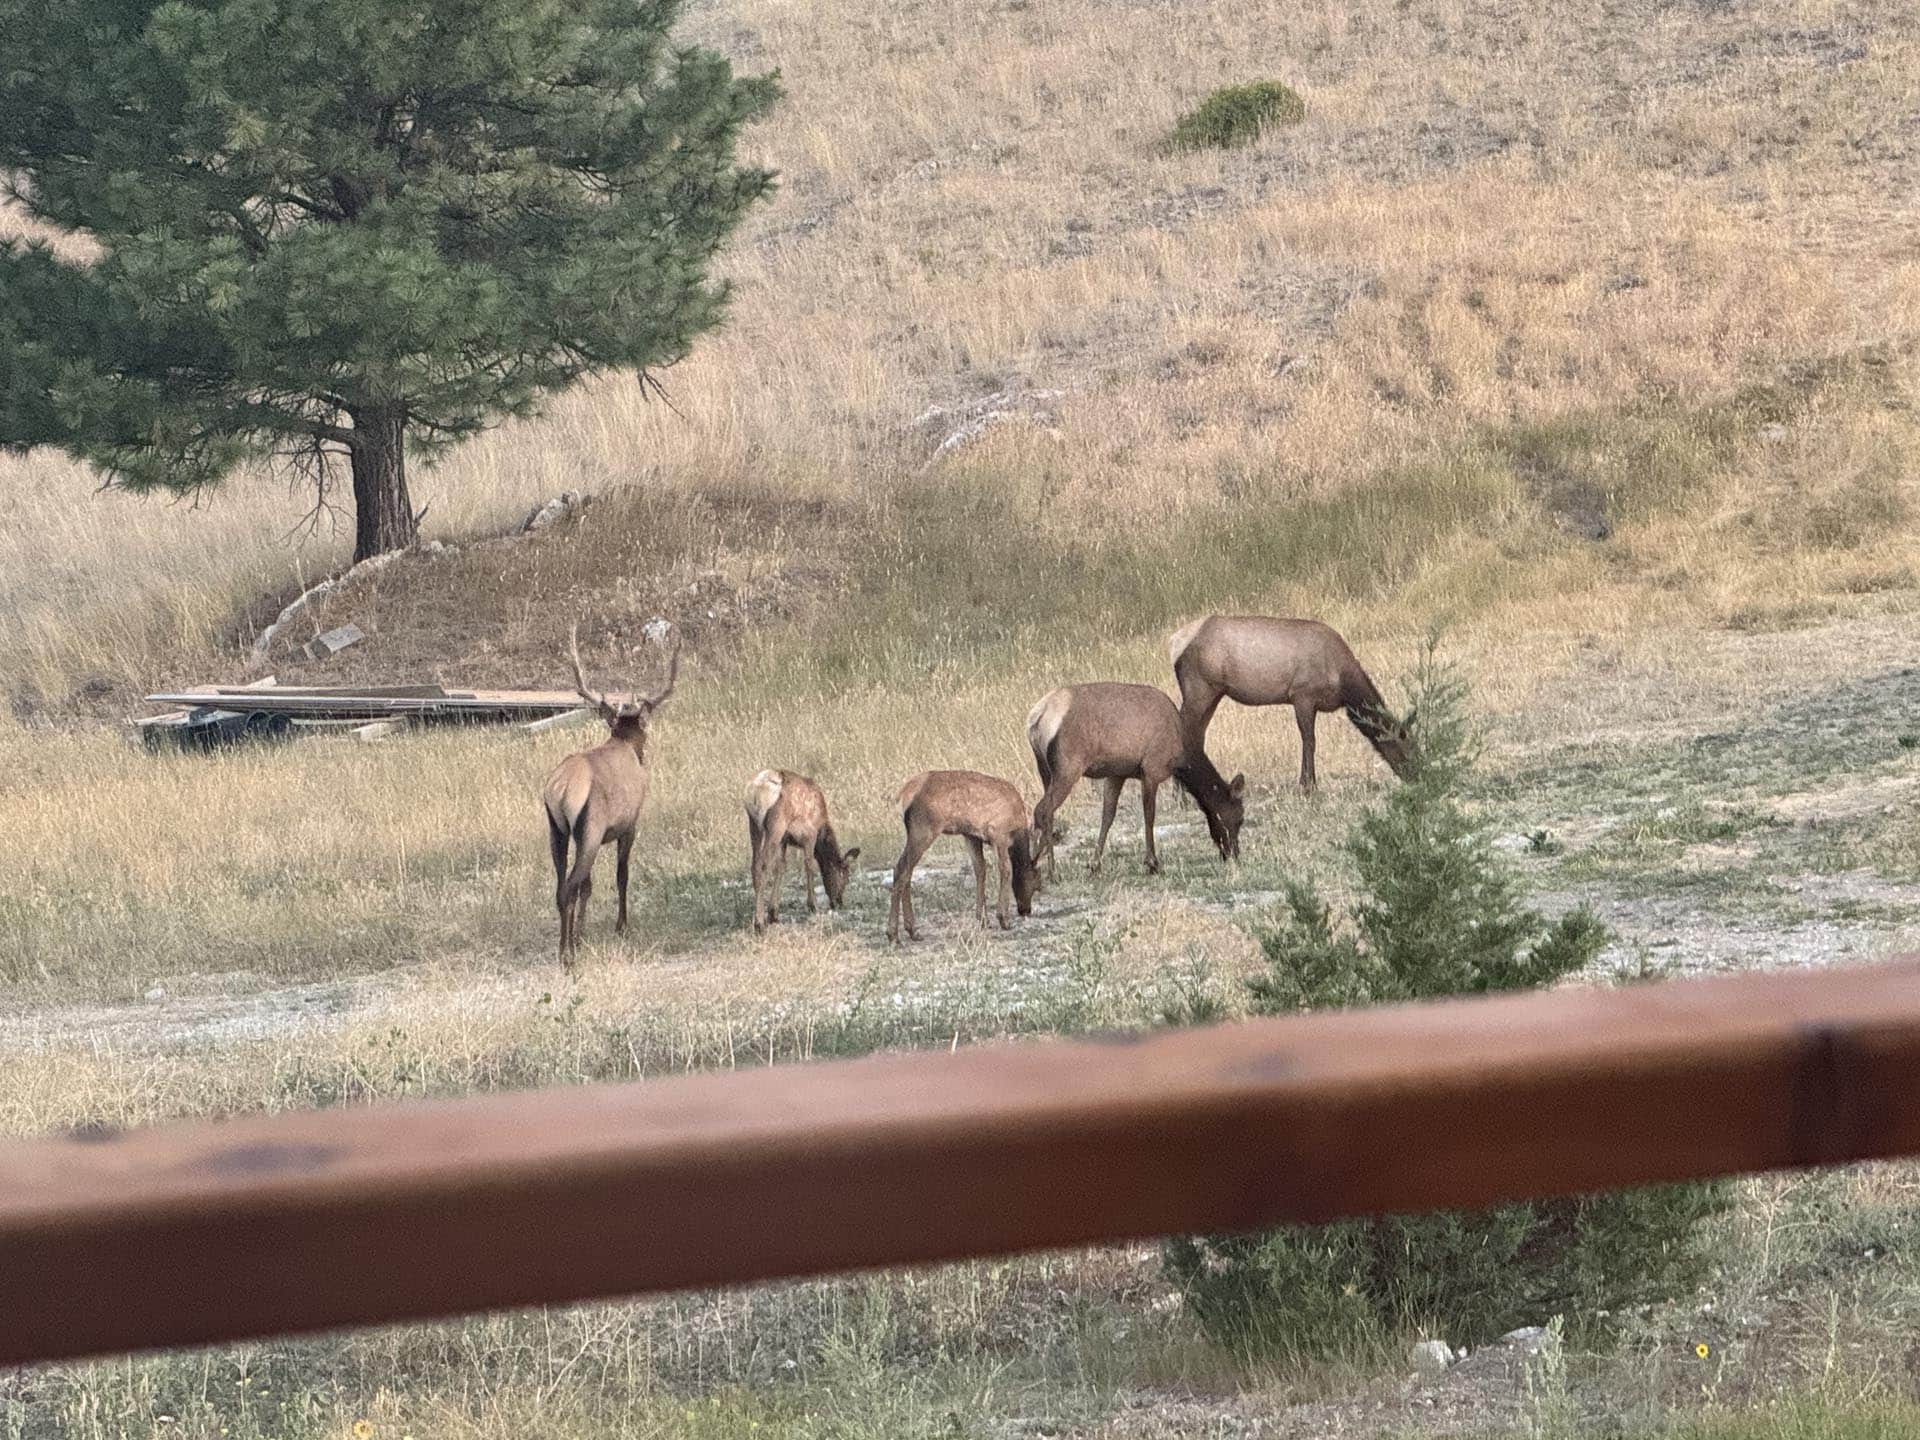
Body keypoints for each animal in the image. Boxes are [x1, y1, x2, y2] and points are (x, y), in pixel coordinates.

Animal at [541, 625, 681, 964]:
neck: (624, 743)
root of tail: (560, 790)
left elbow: (590, 886)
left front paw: (582, 935)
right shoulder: (630, 824)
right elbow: (622, 875)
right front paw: (621, 926)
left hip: (558, 831)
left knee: (562, 887)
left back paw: (567, 945)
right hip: (590, 830)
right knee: (569, 887)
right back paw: (567, 955)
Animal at [744, 769, 861, 933]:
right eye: (845, 876)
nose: (839, 902)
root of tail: (756, 791)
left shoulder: (784, 840)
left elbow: (781, 867)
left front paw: (773, 913)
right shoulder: (808, 836)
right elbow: (809, 866)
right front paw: (813, 905)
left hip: (754, 824)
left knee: (754, 865)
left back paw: (759, 918)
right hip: (776, 825)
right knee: (763, 865)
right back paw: (759, 923)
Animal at [887, 771, 1044, 943]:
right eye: (1037, 884)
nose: (1026, 910)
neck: (1018, 827)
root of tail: (903, 795)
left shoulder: (971, 836)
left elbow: (980, 870)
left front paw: (983, 919)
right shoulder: (999, 834)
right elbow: (1006, 870)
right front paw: (1004, 919)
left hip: (916, 832)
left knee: (907, 871)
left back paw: (912, 930)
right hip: (924, 829)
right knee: (901, 868)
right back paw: (894, 934)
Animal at [1027, 682, 1245, 874]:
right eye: (1239, 818)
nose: (1234, 853)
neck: (1181, 755)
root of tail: (1037, 717)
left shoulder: (1117, 774)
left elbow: (1108, 816)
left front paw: (1095, 864)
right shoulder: (1151, 769)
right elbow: (1149, 815)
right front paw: (1153, 863)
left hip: (1044, 769)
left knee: (1048, 812)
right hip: (1068, 767)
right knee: (1042, 810)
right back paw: (1046, 867)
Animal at [1169, 615, 1412, 793]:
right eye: (1405, 746)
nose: (1416, 773)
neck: (1343, 682)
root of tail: (1174, 643)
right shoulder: (1302, 694)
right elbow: (1309, 740)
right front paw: (1308, 785)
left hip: (1213, 693)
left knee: (1198, 736)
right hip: (1199, 689)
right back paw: (1180, 794)